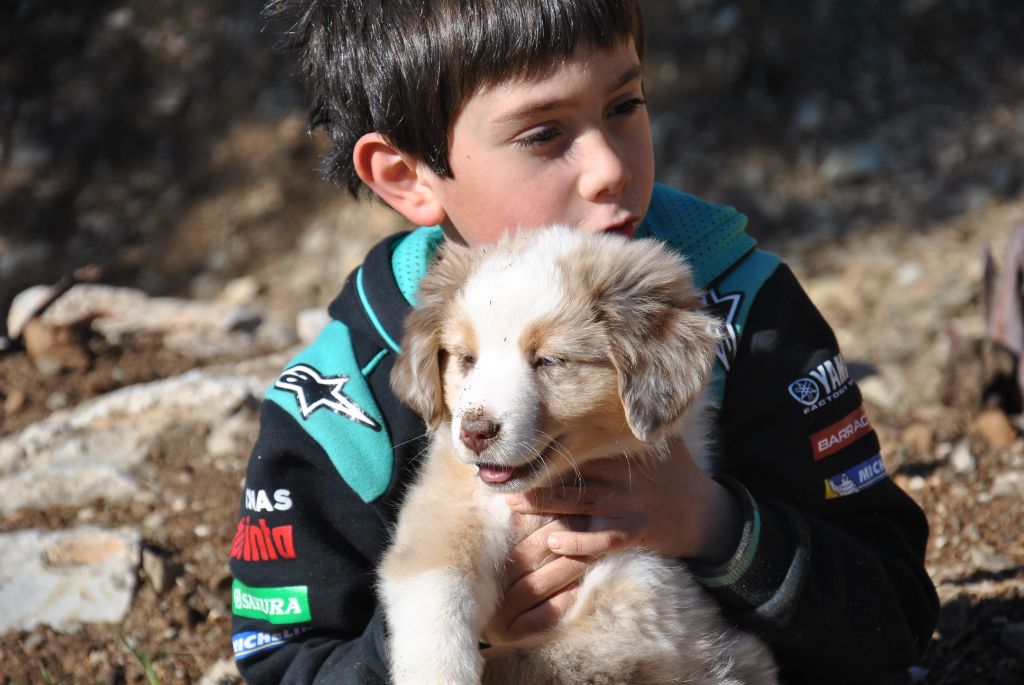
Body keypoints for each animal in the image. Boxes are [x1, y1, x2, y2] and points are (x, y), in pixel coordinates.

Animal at [382, 227, 774, 679]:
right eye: (467, 359)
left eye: (550, 360)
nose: (475, 433)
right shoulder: (449, 514)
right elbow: (434, 594)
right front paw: (437, 673)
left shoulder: (644, 610)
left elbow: (518, 662)